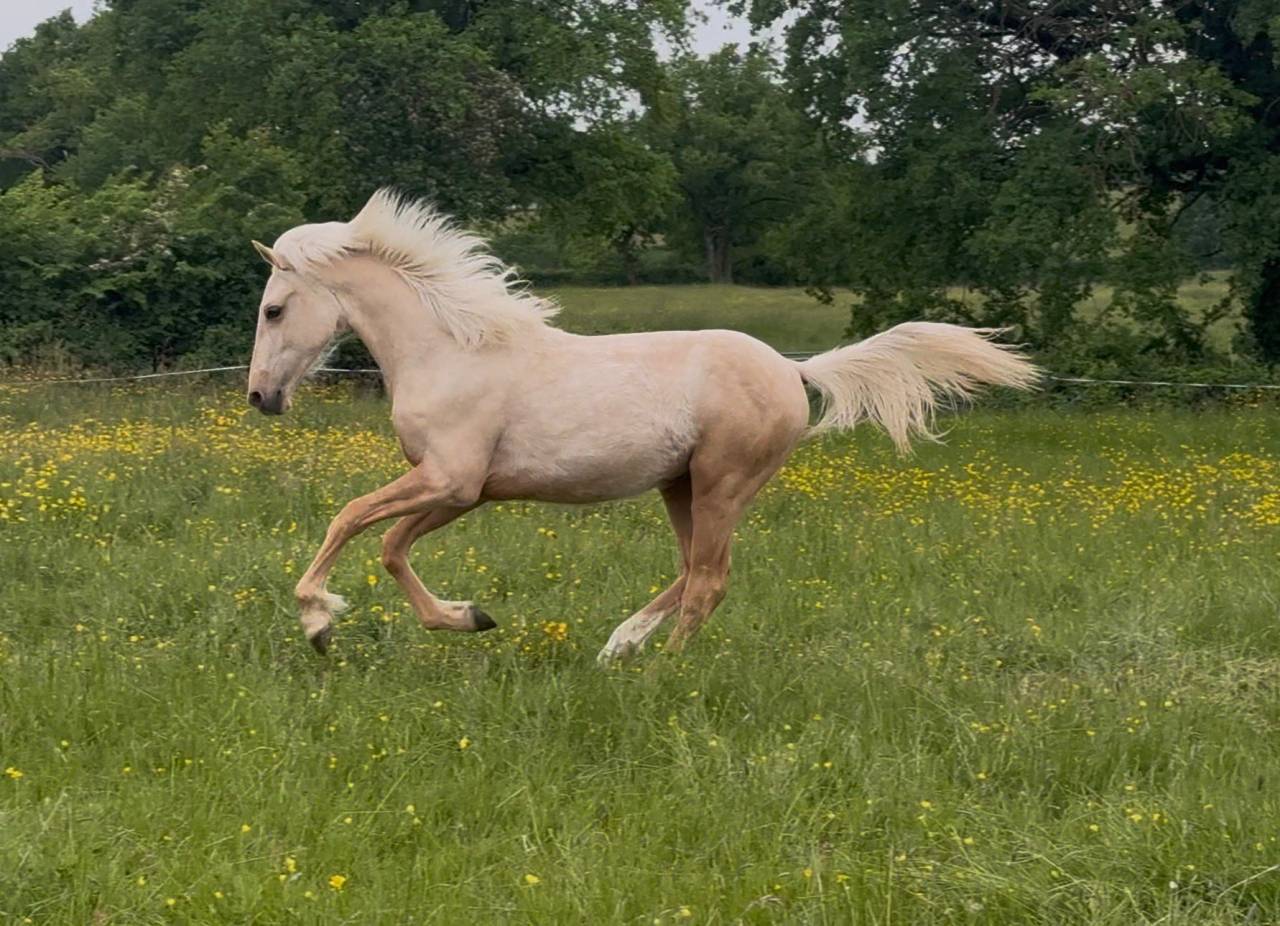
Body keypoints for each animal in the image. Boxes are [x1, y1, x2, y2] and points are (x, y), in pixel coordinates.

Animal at [246, 190, 1039, 662]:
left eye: (274, 309)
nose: (260, 397)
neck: (452, 351)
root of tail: (795, 370)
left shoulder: (449, 479)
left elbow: (351, 519)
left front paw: (317, 622)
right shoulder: (461, 492)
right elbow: (389, 547)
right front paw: (469, 617)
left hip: (722, 483)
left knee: (709, 580)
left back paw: (664, 672)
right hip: (680, 487)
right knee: (692, 573)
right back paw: (619, 646)